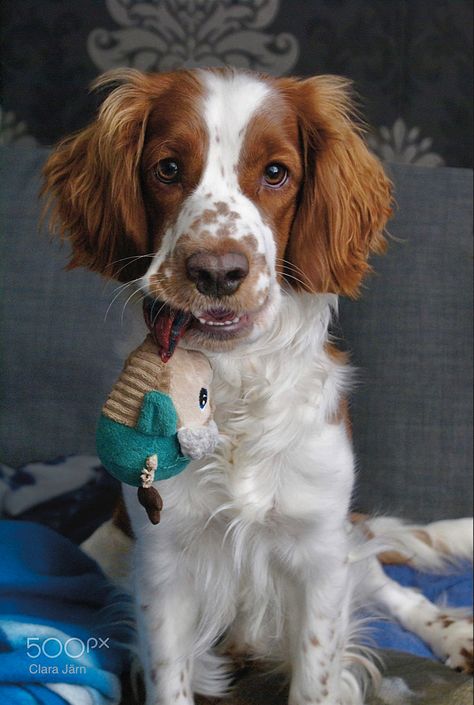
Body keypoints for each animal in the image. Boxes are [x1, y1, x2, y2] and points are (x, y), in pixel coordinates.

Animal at [42, 67, 472, 704]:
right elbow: (170, 679)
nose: (217, 272)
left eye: (275, 173)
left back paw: (452, 634)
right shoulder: (163, 570)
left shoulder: (320, 554)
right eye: (167, 168)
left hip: (344, 539)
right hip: (109, 547)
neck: (234, 386)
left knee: (395, 587)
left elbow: (316, 677)